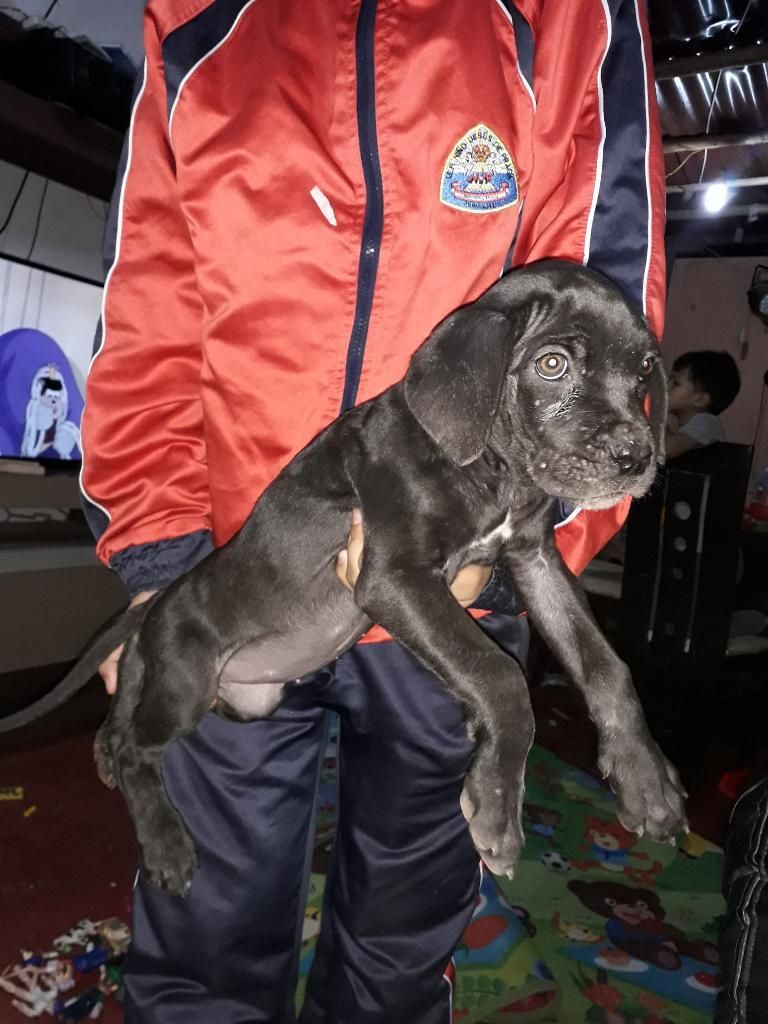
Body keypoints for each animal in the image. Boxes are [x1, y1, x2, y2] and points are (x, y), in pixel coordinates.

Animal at [0, 260, 684, 892]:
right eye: (552, 365)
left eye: (643, 375)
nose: (637, 459)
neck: (494, 471)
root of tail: (161, 599)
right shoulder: (394, 577)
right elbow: (501, 675)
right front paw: (496, 805)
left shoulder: (535, 561)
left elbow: (606, 667)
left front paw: (645, 779)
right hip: (185, 682)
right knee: (138, 751)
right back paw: (166, 843)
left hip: (237, 698)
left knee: (123, 727)